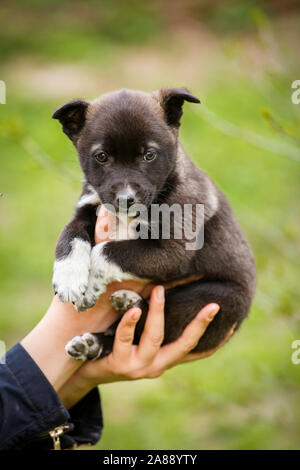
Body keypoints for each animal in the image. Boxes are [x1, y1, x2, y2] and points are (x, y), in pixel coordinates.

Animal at [51, 87, 255, 360]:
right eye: (101, 156)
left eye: (149, 155)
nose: (125, 199)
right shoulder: (87, 207)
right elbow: (69, 236)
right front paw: (69, 278)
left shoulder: (173, 251)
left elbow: (106, 250)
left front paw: (91, 283)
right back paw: (98, 337)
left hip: (212, 299)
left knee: (146, 325)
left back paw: (119, 316)